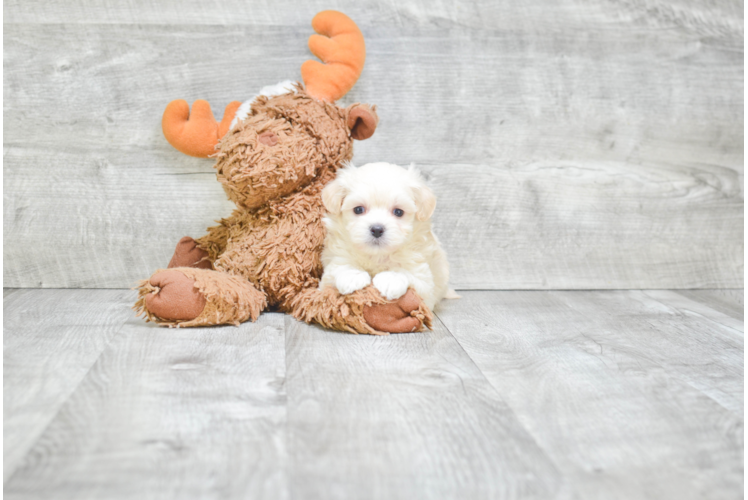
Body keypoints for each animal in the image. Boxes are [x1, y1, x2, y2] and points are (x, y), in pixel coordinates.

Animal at [320, 162, 450, 310]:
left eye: (398, 212)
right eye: (358, 209)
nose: (377, 229)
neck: (377, 256)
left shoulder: (424, 284)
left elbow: (407, 273)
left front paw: (391, 279)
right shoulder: (329, 273)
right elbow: (339, 266)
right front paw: (352, 275)